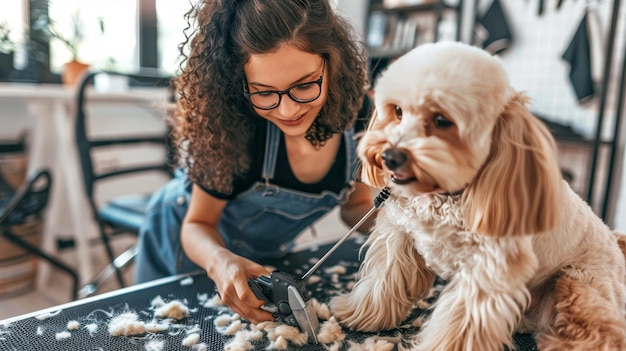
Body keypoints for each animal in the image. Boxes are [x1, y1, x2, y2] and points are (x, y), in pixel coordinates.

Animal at [326, 43, 624, 351]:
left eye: (442, 120)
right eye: (397, 111)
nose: (390, 157)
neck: (444, 195)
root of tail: (615, 242)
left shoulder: (486, 272)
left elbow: (461, 324)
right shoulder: (399, 237)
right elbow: (382, 281)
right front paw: (359, 314)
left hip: (577, 286)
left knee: (601, 333)